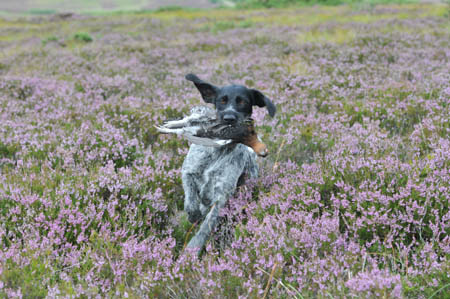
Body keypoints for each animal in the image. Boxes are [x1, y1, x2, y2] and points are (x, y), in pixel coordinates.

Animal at [182, 74, 274, 253]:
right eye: (222, 100)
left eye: (243, 102)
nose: (229, 119)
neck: (218, 151)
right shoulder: (188, 171)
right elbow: (191, 199)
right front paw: (193, 213)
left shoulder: (222, 195)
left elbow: (207, 225)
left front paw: (193, 247)